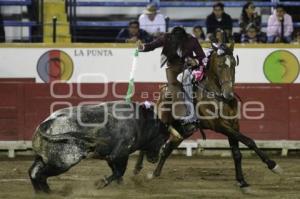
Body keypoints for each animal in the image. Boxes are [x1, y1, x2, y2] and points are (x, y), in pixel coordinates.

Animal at [132, 41, 282, 191]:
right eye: (220, 65)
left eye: (234, 64)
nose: (228, 93)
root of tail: (163, 93)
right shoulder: (219, 125)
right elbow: (249, 141)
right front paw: (273, 165)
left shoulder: (233, 125)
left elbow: (237, 153)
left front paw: (242, 181)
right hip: (163, 122)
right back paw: (137, 169)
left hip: (183, 131)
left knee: (167, 148)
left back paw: (154, 173)